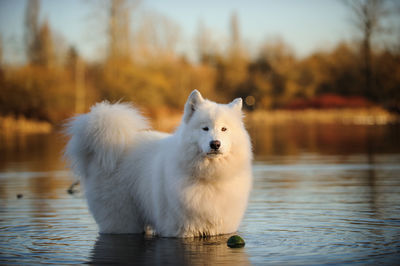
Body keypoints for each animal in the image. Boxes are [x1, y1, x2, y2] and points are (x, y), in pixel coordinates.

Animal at [65, 90, 253, 237]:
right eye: (204, 128)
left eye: (224, 129)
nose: (215, 144)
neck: (210, 176)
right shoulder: (179, 228)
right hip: (122, 219)